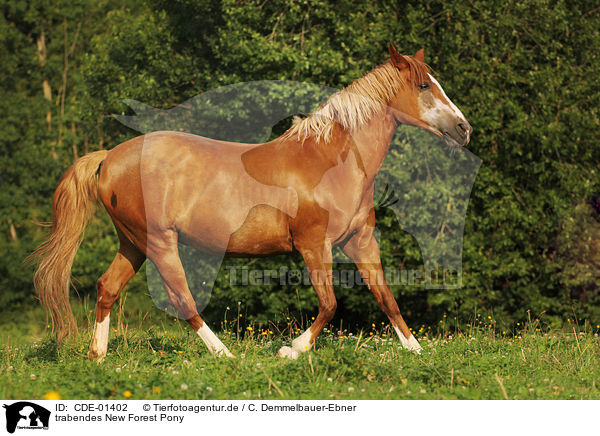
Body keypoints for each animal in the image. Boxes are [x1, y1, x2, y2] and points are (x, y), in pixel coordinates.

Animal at [32, 46, 472, 362]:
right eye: (423, 86)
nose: (463, 128)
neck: (330, 161)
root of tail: (109, 157)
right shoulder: (314, 245)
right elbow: (330, 305)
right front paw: (291, 350)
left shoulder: (360, 241)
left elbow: (386, 297)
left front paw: (416, 350)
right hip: (158, 242)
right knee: (182, 299)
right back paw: (225, 355)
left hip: (133, 243)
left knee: (107, 288)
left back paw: (98, 356)